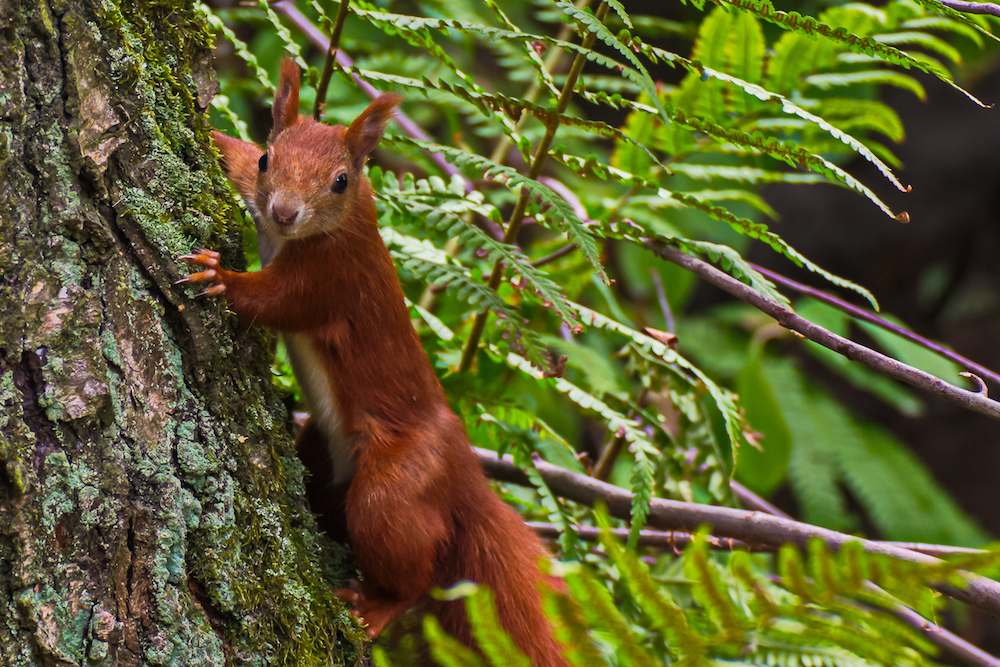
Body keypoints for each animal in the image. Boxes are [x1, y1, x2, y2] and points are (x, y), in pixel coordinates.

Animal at [181, 60, 572, 664]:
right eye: (270, 158)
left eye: (341, 180)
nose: (284, 212)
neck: (335, 224)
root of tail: (464, 480)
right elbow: (235, 159)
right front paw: (217, 136)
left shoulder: (334, 278)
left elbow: (277, 302)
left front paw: (220, 276)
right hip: (325, 451)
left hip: (394, 490)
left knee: (415, 573)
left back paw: (377, 607)